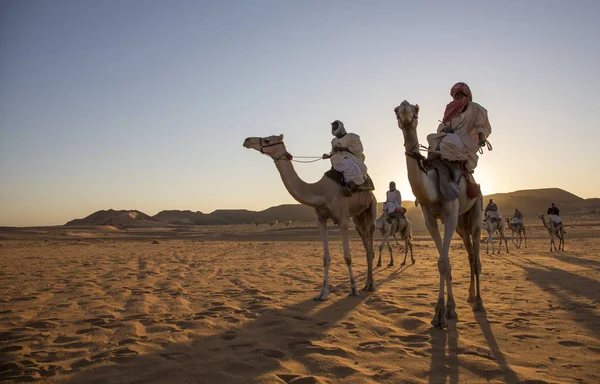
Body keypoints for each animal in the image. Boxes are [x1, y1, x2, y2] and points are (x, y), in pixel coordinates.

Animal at [243, 135, 376, 300]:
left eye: (268, 140)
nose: (247, 140)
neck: (321, 192)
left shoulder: (343, 219)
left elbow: (347, 256)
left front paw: (353, 289)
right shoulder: (321, 219)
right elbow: (325, 257)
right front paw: (323, 293)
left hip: (372, 204)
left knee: (370, 239)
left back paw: (370, 285)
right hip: (358, 215)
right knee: (365, 242)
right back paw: (367, 283)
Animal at [394, 100, 488, 328]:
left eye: (416, 109)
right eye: (395, 110)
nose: (405, 112)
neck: (432, 189)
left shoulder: (450, 215)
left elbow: (444, 263)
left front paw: (441, 314)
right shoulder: (430, 219)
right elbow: (444, 263)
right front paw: (447, 310)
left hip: (475, 213)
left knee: (477, 258)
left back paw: (479, 302)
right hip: (462, 225)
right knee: (470, 255)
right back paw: (470, 295)